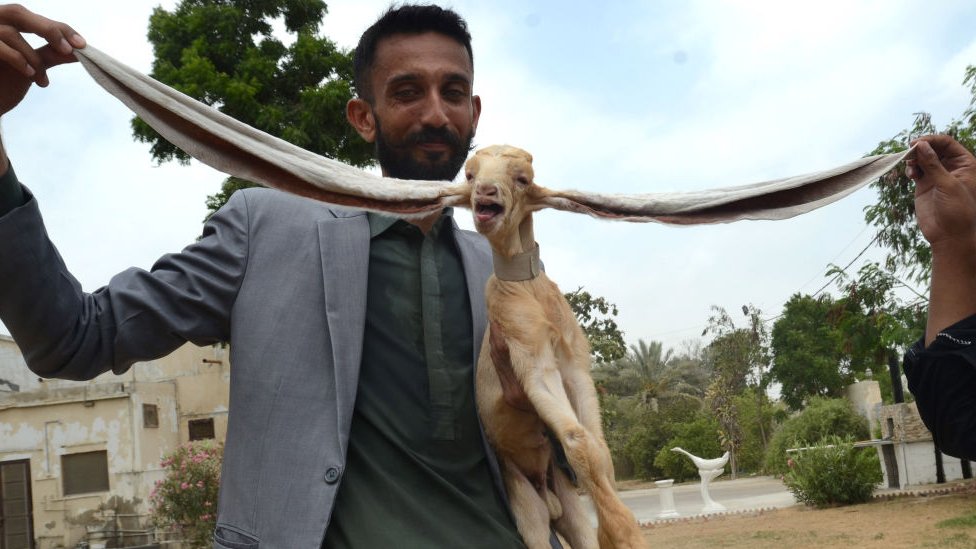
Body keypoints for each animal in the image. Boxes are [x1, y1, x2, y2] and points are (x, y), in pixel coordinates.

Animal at [468, 146, 648, 548]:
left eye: (523, 178)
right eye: (469, 175)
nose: (485, 192)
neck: (526, 288)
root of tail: (545, 495)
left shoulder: (574, 363)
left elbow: (599, 450)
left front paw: (616, 528)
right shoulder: (530, 359)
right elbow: (578, 442)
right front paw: (623, 531)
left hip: (566, 501)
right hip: (524, 504)